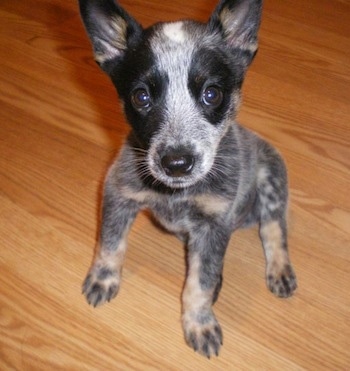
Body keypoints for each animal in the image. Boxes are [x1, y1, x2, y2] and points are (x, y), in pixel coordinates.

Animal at [78, 0, 296, 358]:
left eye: (212, 94)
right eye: (141, 97)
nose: (176, 163)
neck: (175, 194)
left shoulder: (213, 225)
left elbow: (200, 283)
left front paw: (199, 322)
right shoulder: (119, 192)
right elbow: (109, 244)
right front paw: (103, 278)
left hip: (271, 177)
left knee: (273, 228)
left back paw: (279, 268)